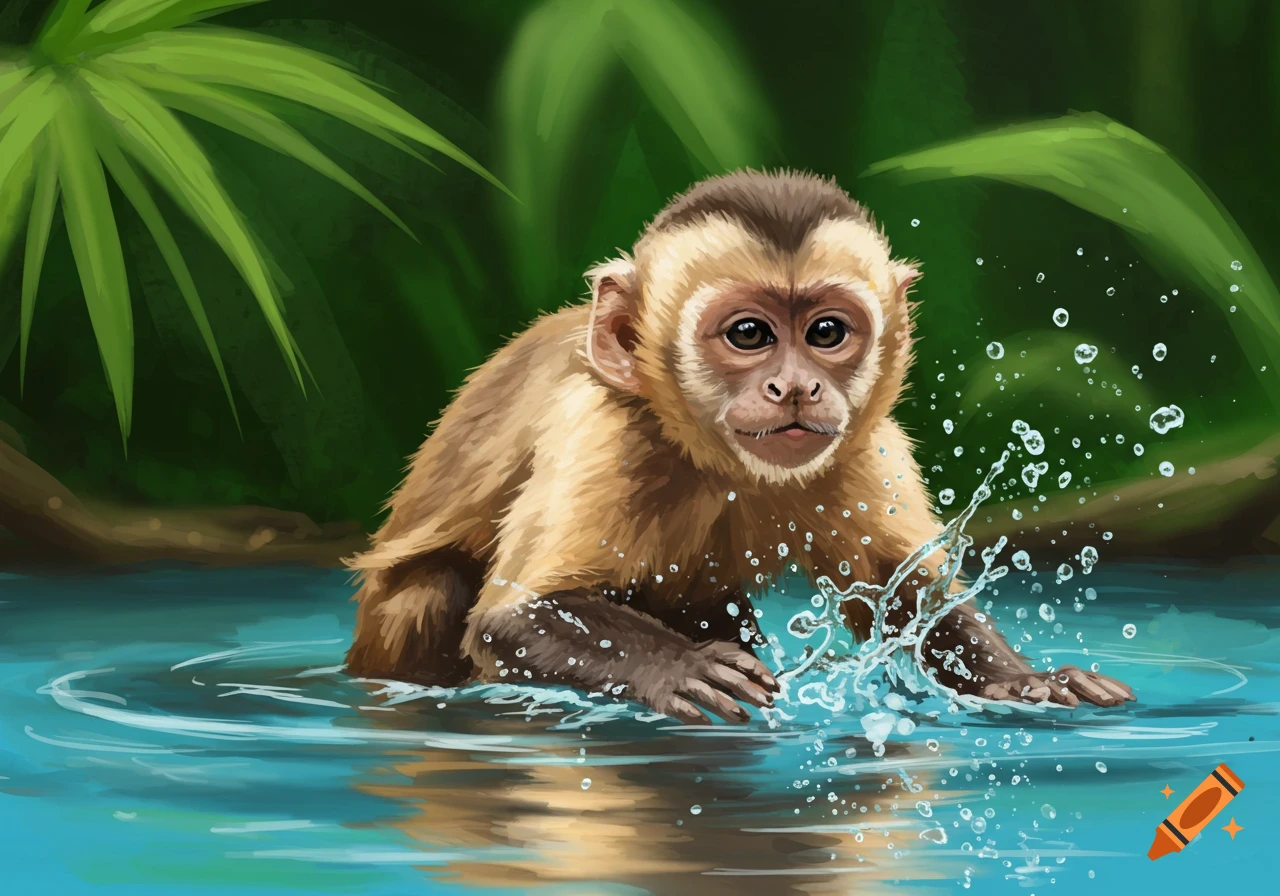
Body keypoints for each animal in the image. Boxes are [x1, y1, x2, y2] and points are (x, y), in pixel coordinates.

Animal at [344, 169, 1135, 723]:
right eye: (749, 334)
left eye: (826, 333)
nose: (795, 387)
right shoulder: (600, 427)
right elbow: (515, 616)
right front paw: (679, 668)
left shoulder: (868, 445)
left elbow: (908, 596)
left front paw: (1024, 681)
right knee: (439, 590)